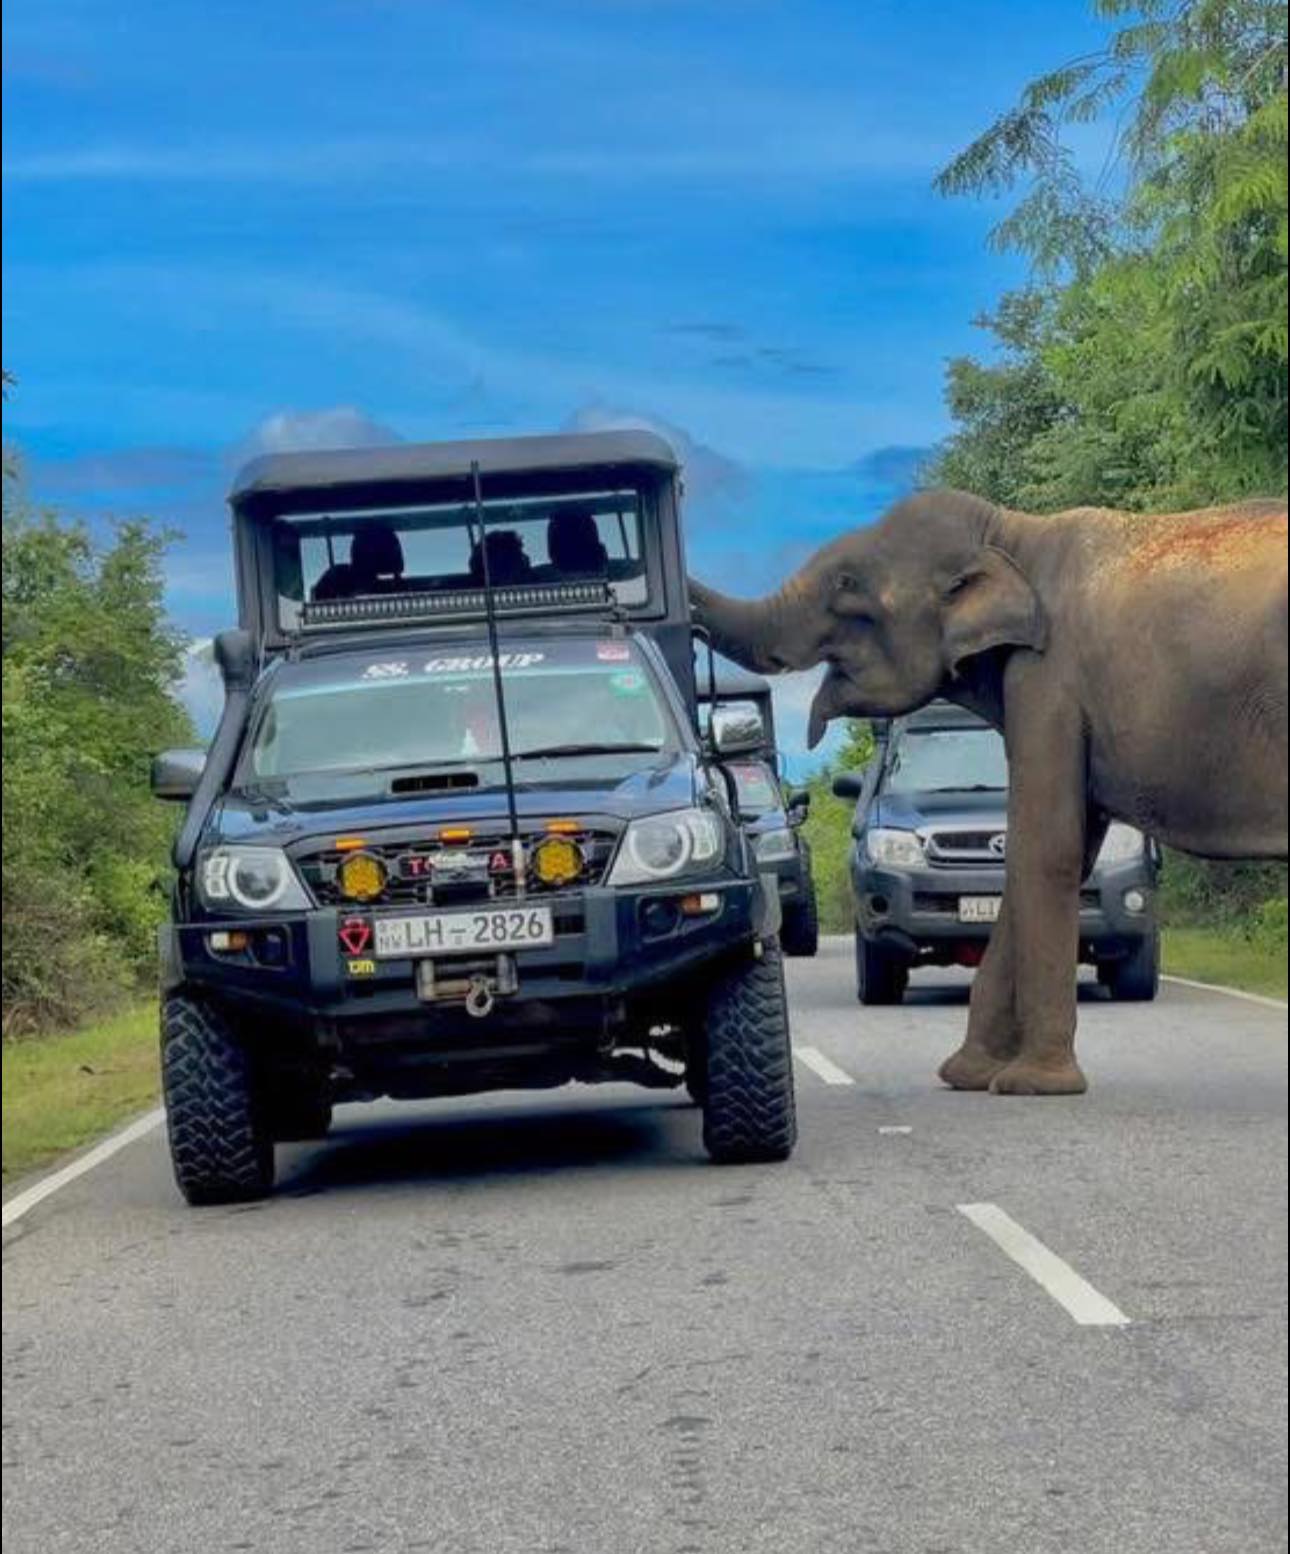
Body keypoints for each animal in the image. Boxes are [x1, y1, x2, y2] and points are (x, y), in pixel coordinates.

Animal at [691, 490, 1288, 1095]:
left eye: (847, 584)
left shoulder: (1046, 679)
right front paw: (968, 1075)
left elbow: (1044, 850)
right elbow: (1062, 854)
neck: (1008, 534)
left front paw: (1034, 1084)